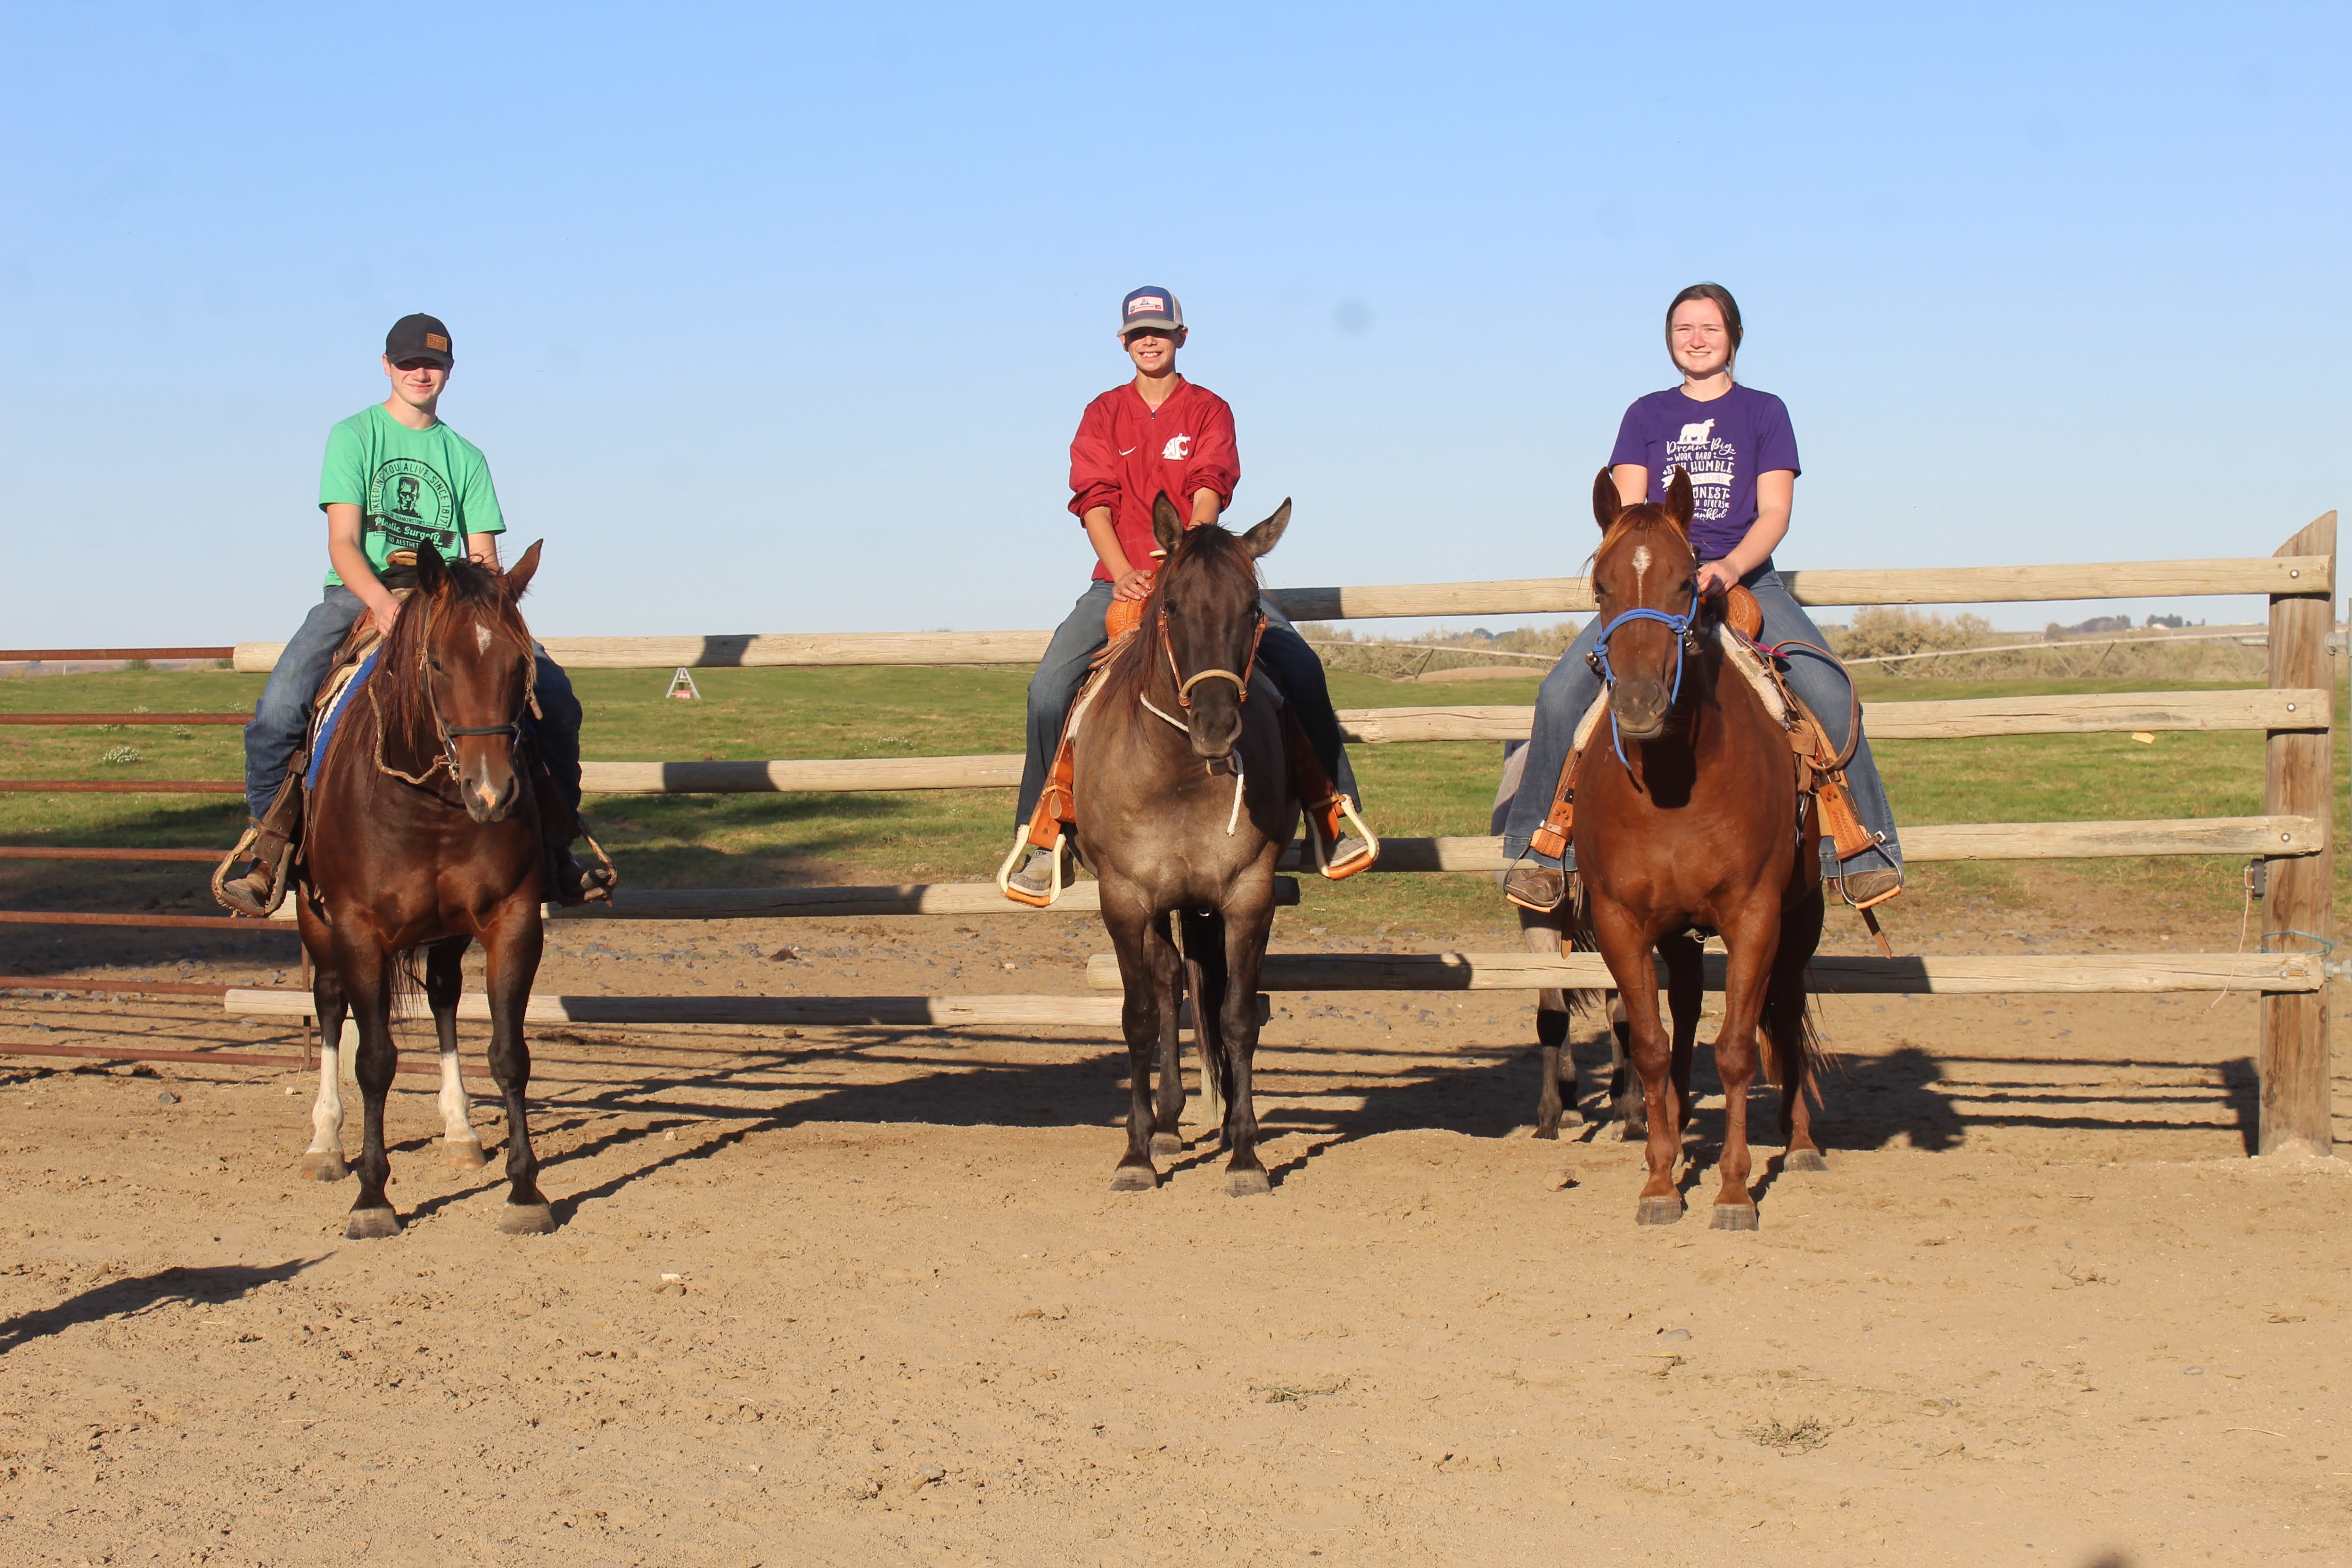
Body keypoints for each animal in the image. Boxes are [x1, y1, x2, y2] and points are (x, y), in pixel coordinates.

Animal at [294, 543, 560, 1239]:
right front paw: (372, 1197)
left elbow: (508, 1053)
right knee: (329, 1005)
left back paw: (460, 1130)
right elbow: (374, 1060)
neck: (431, 807)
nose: (492, 793)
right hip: (316, 920)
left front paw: (525, 1190)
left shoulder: (512, 921)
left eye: (519, 665)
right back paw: (324, 1143)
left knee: (442, 996)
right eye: (438, 662)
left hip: (446, 933)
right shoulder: (357, 928)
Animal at [1075, 493, 1296, 1197]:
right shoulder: (1124, 898)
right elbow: (1139, 1016)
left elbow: (1235, 1015)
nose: (1215, 723)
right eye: (1170, 604)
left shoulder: (1247, 895)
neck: (1173, 771)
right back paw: (1165, 1125)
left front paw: (1245, 1155)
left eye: (1252, 607)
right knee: (1169, 982)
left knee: (1191, 983)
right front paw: (1135, 1154)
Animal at [1574, 467, 1825, 1228]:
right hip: (1679, 932)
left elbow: (1739, 1049)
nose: (1637, 703)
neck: (1674, 785)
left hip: (1800, 921)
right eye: (1600, 585)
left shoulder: (1754, 916)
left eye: (1687, 581)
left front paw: (1736, 1191)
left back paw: (1800, 1145)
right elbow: (1652, 1048)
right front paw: (1660, 1181)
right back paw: (1680, 1130)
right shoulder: (1621, 921)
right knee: (1683, 1011)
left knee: (1784, 1007)